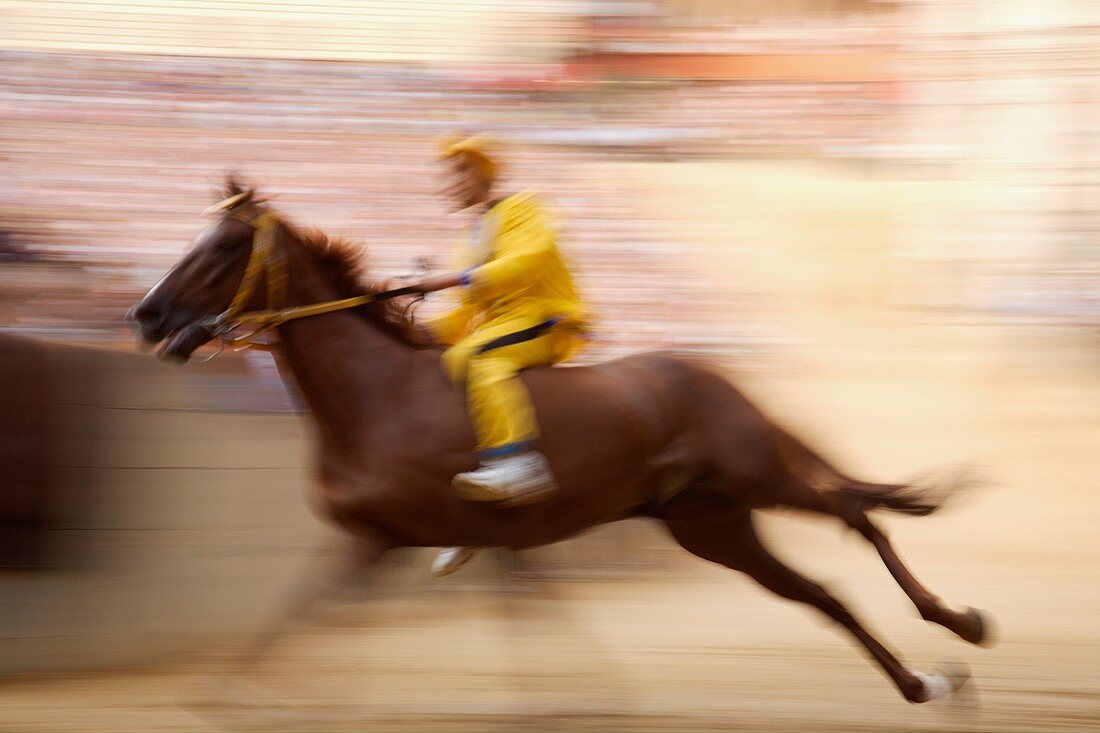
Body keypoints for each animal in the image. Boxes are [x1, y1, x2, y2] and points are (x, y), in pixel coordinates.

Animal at [130, 177, 998, 704]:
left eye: (220, 248)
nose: (145, 314)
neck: (377, 397)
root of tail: (713, 375)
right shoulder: (378, 538)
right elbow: (295, 614)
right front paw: (235, 692)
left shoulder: (478, 530)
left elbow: (527, 623)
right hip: (711, 523)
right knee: (824, 591)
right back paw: (923, 684)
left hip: (755, 476)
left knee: (855, 510)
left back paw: (958, 623)